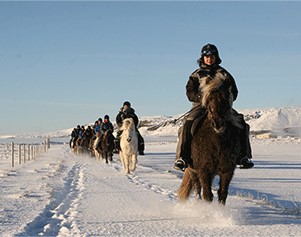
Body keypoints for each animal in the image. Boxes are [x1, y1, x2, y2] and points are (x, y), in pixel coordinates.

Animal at [177, 76, 243, 206]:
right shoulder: (204, 170)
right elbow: (207, 195)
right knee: (198, 188)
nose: (217, 124)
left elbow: (222, 194)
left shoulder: (227, 171)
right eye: (208, 99)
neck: (217, 142)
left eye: (226, 97)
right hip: (192, 170)